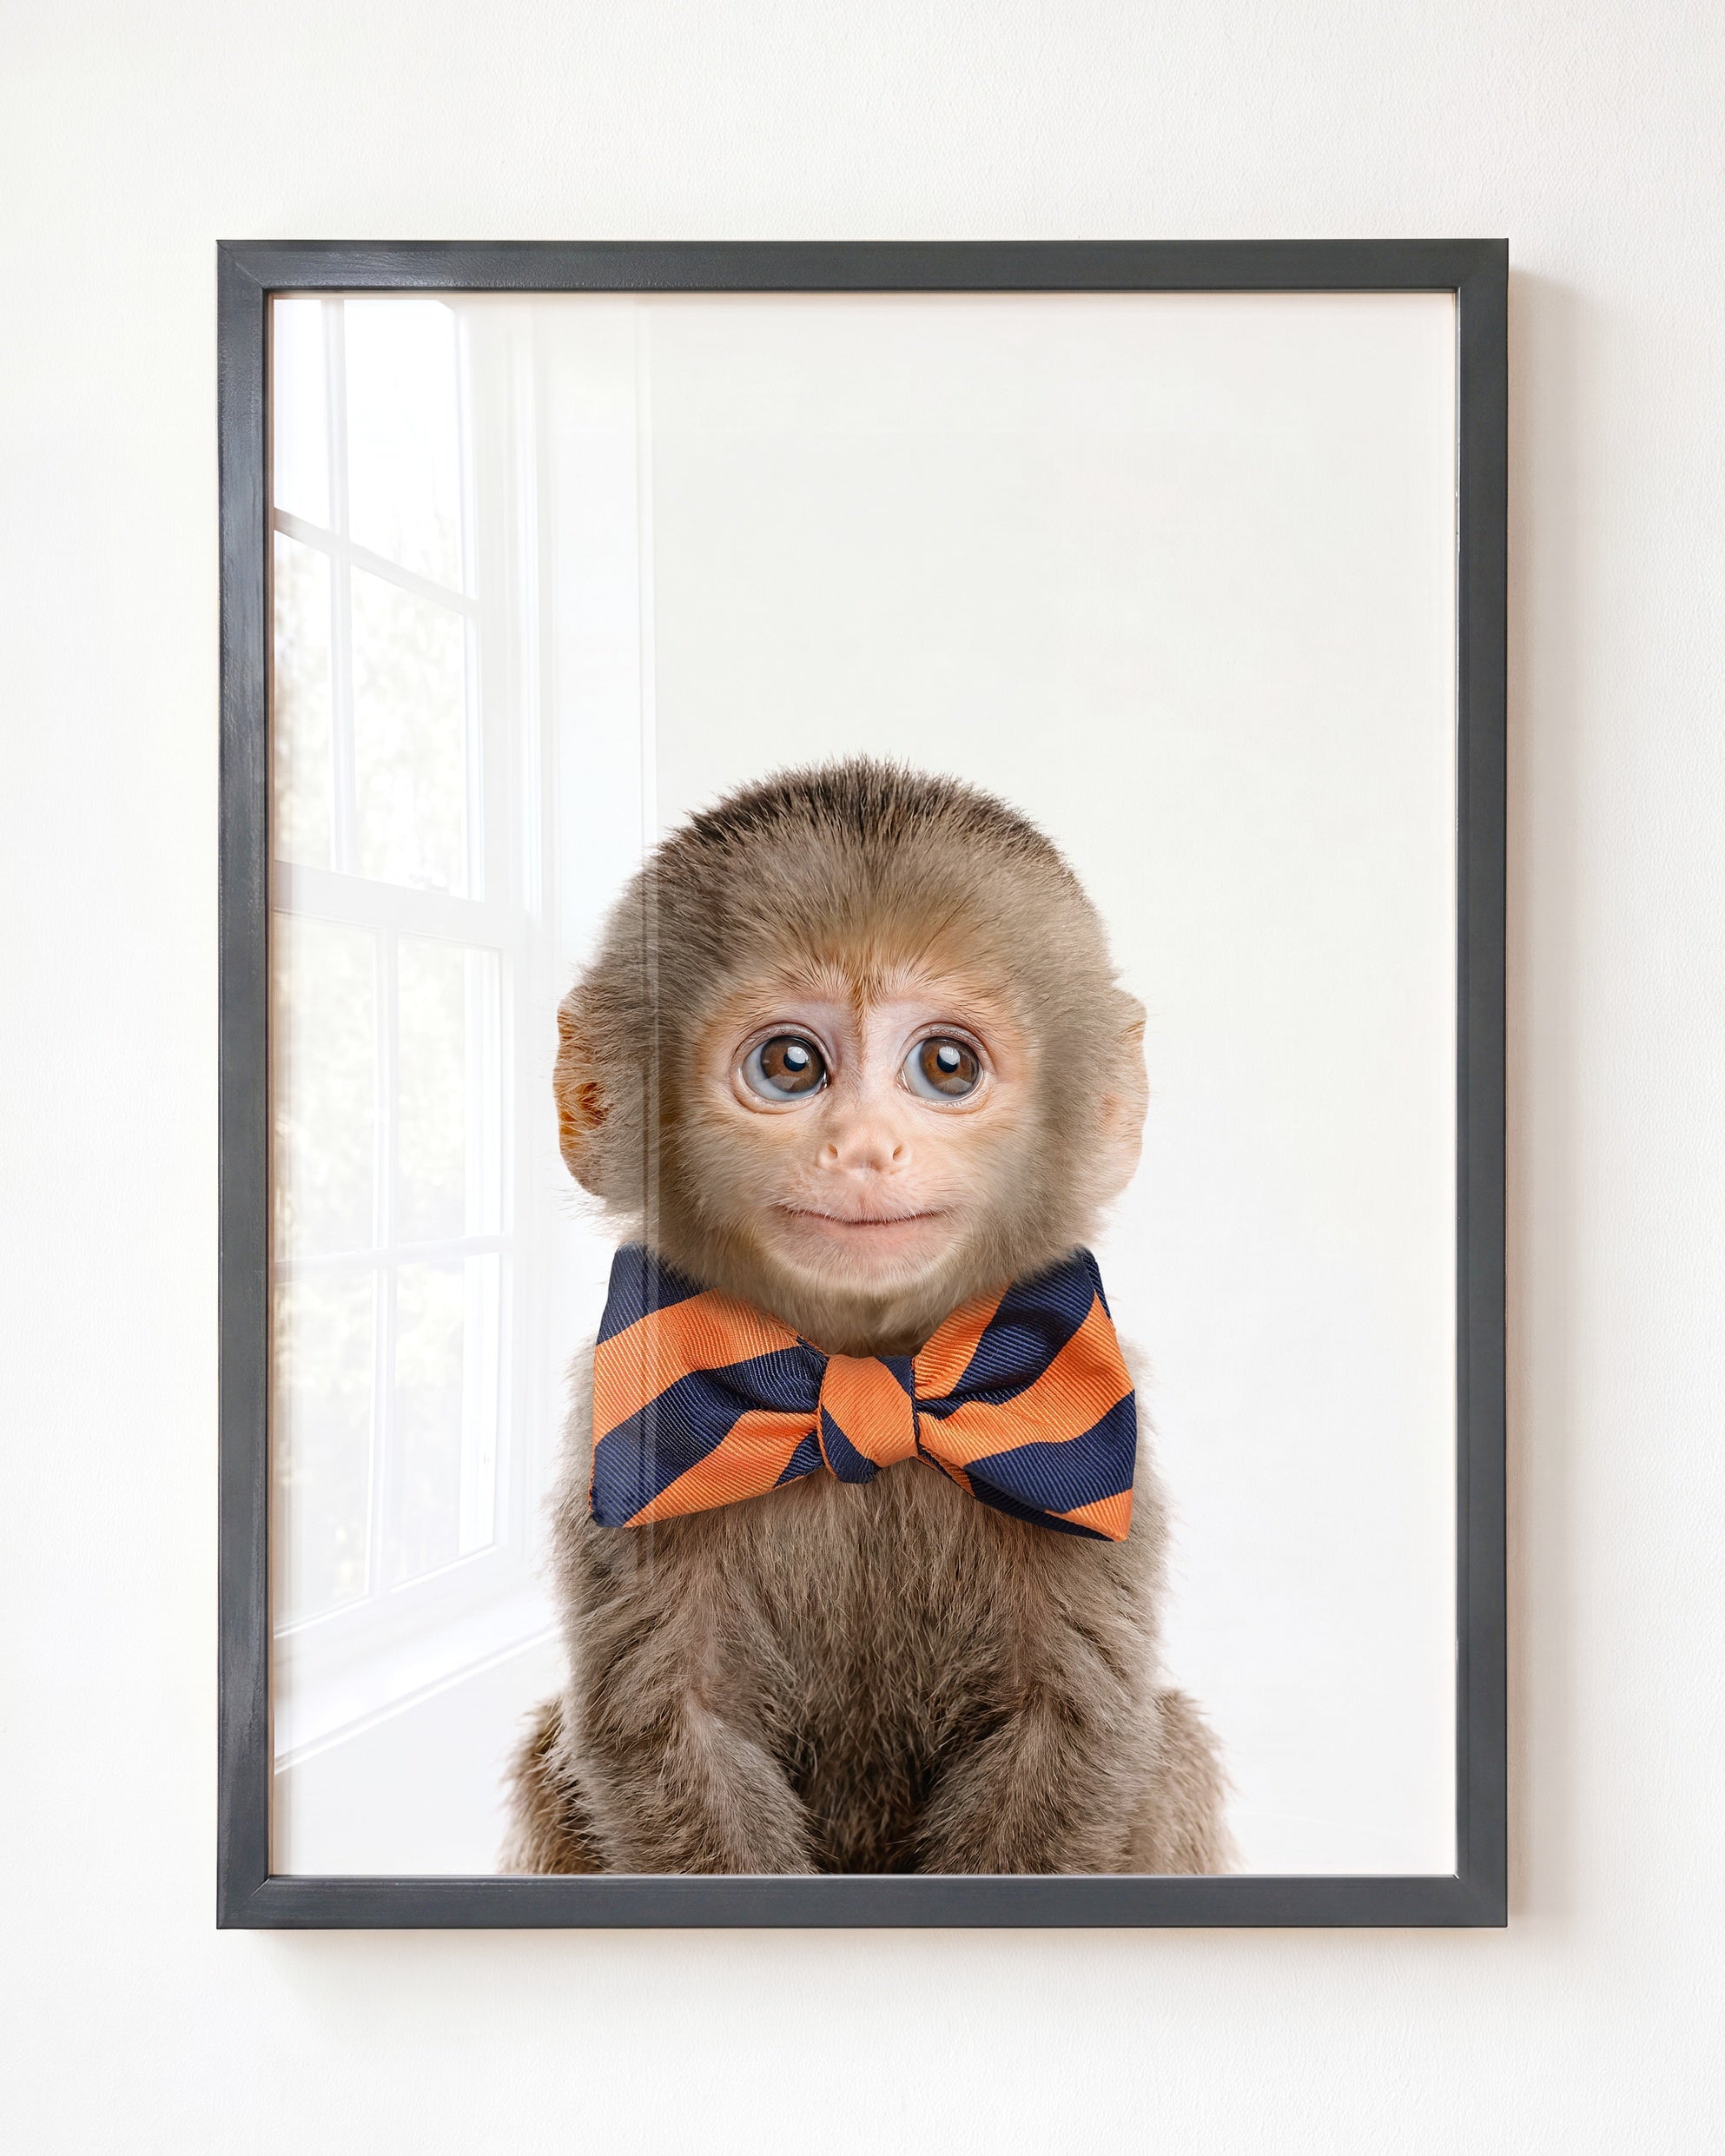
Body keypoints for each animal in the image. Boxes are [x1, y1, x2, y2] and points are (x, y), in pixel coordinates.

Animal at [502, 759, 1229, 1876]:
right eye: (791, 1065)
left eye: (946, 1066)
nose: (863, 1148)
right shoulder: (626, 1429)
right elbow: (672, 1728)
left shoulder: (1098, 1442)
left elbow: (1068, 1729)